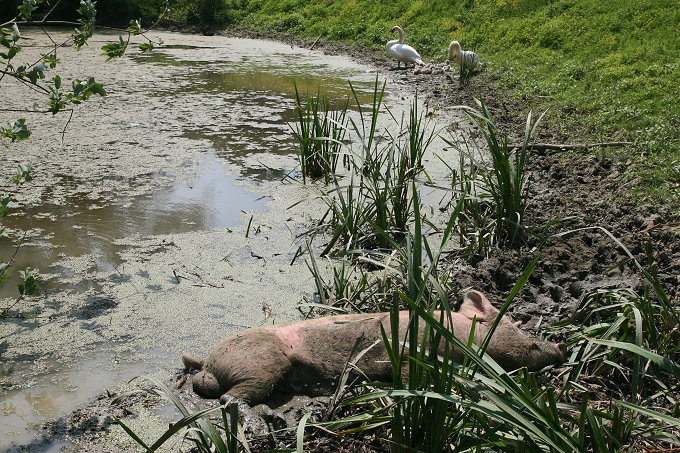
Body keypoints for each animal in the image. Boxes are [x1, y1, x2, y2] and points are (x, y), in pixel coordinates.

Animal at [179, 292, 564, 404]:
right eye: (523, 334)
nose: (558, 347)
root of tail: (208, 362)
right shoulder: (410, 351)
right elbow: (409, 372)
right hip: (259, 363)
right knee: (232, 396)